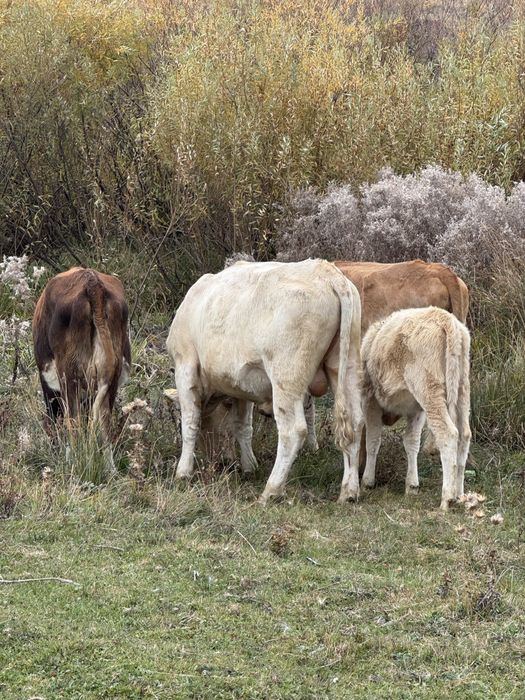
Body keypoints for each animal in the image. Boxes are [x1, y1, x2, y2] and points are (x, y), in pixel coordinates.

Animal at [166, 259, 364, 504]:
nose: (215, 462)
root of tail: (326, 271)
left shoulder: (185, 366)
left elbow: (190, 423)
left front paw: (183, 472)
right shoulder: (240, 386)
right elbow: (243, 426)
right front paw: (249, 466)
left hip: (286, 377)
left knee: (293, 431)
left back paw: (272, 489)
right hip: (347, 368)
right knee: (355, 423)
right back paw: (349, 491)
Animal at [360, 306, 471, 510]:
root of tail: (444, 318)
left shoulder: (370, 401)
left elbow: (373, 440)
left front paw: (368, 481)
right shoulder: (416, 410)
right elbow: (411, 442)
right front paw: (412, 485)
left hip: (429, 391)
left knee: (448, 434)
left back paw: (447, 498)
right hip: (461, 389)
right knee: (465, 435)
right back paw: (459, 494)